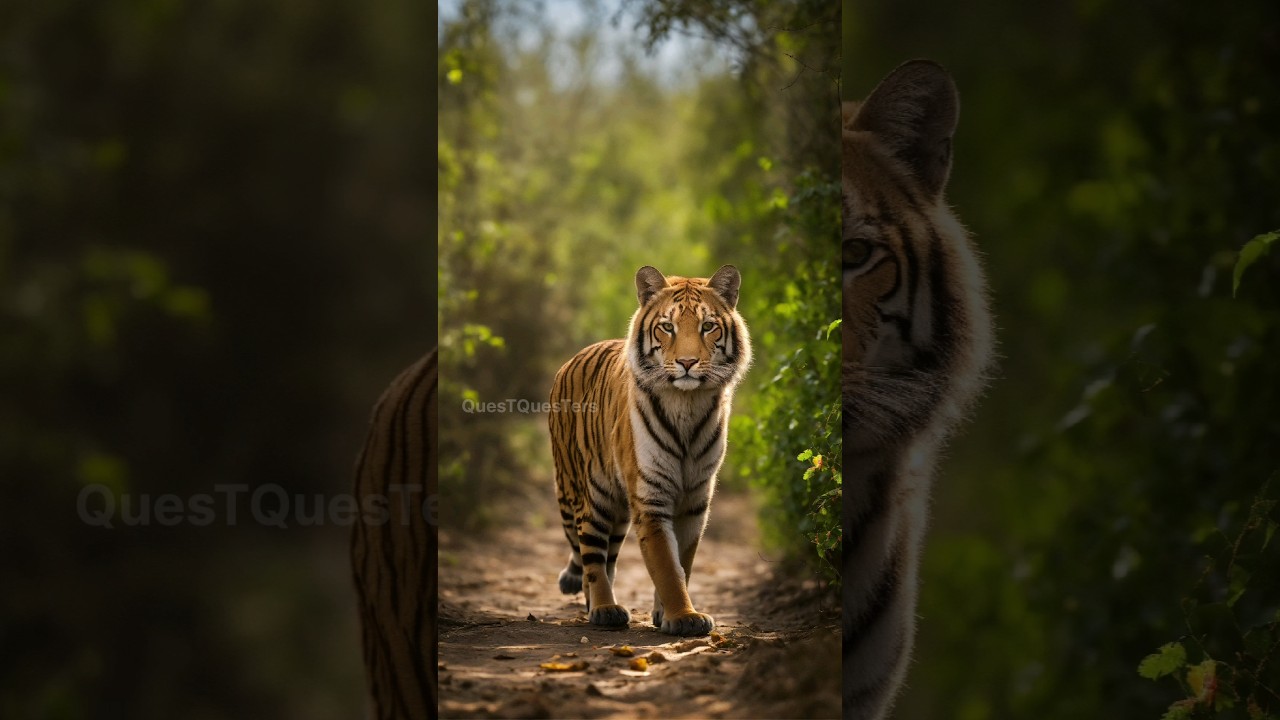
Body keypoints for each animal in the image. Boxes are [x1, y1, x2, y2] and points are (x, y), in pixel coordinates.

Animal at [548, 265, 751, 637]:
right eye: (667, 327)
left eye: (708, 326)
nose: (687, 362)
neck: (687, 404)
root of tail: (571, 360)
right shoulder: (651, 497)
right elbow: (666, 566)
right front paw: (684, 617)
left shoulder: (694, 500)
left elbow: (683, 562)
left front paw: (667, 614)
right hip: (587, 494)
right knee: (591, 554)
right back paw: (604, 609)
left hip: (618, 510)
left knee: (607, 557)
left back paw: (597, 605)